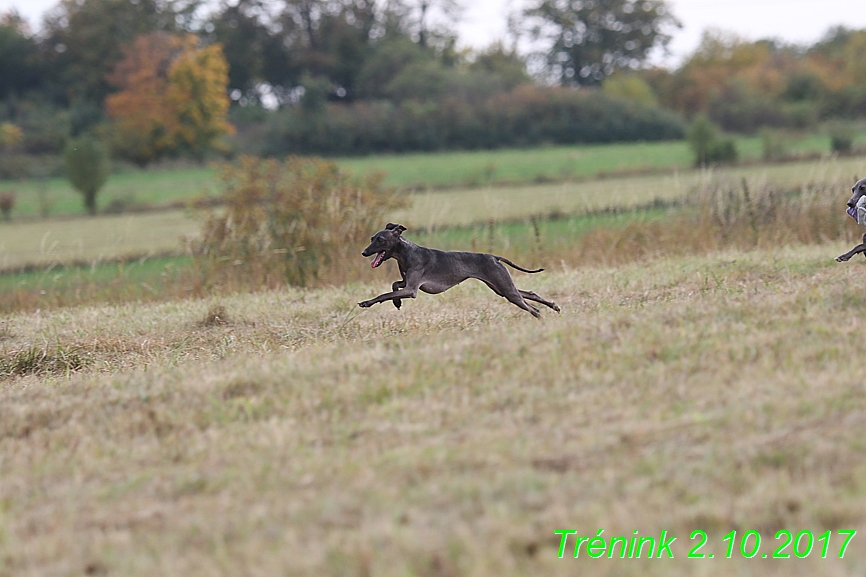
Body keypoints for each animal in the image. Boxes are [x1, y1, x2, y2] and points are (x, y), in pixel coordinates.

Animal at [358, 222, 560, 320]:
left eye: (381, 240)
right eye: (372, 238)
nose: (364, 252)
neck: (406, 253)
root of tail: (494, 257)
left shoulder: (412, 289)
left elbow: (384, 294)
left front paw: (367, 302)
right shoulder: (407, 283)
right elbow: (394, 285)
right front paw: (397, 302)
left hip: (506, 289)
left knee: (532, 308)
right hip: (500, 288)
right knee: (531, 295)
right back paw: (554, 306)